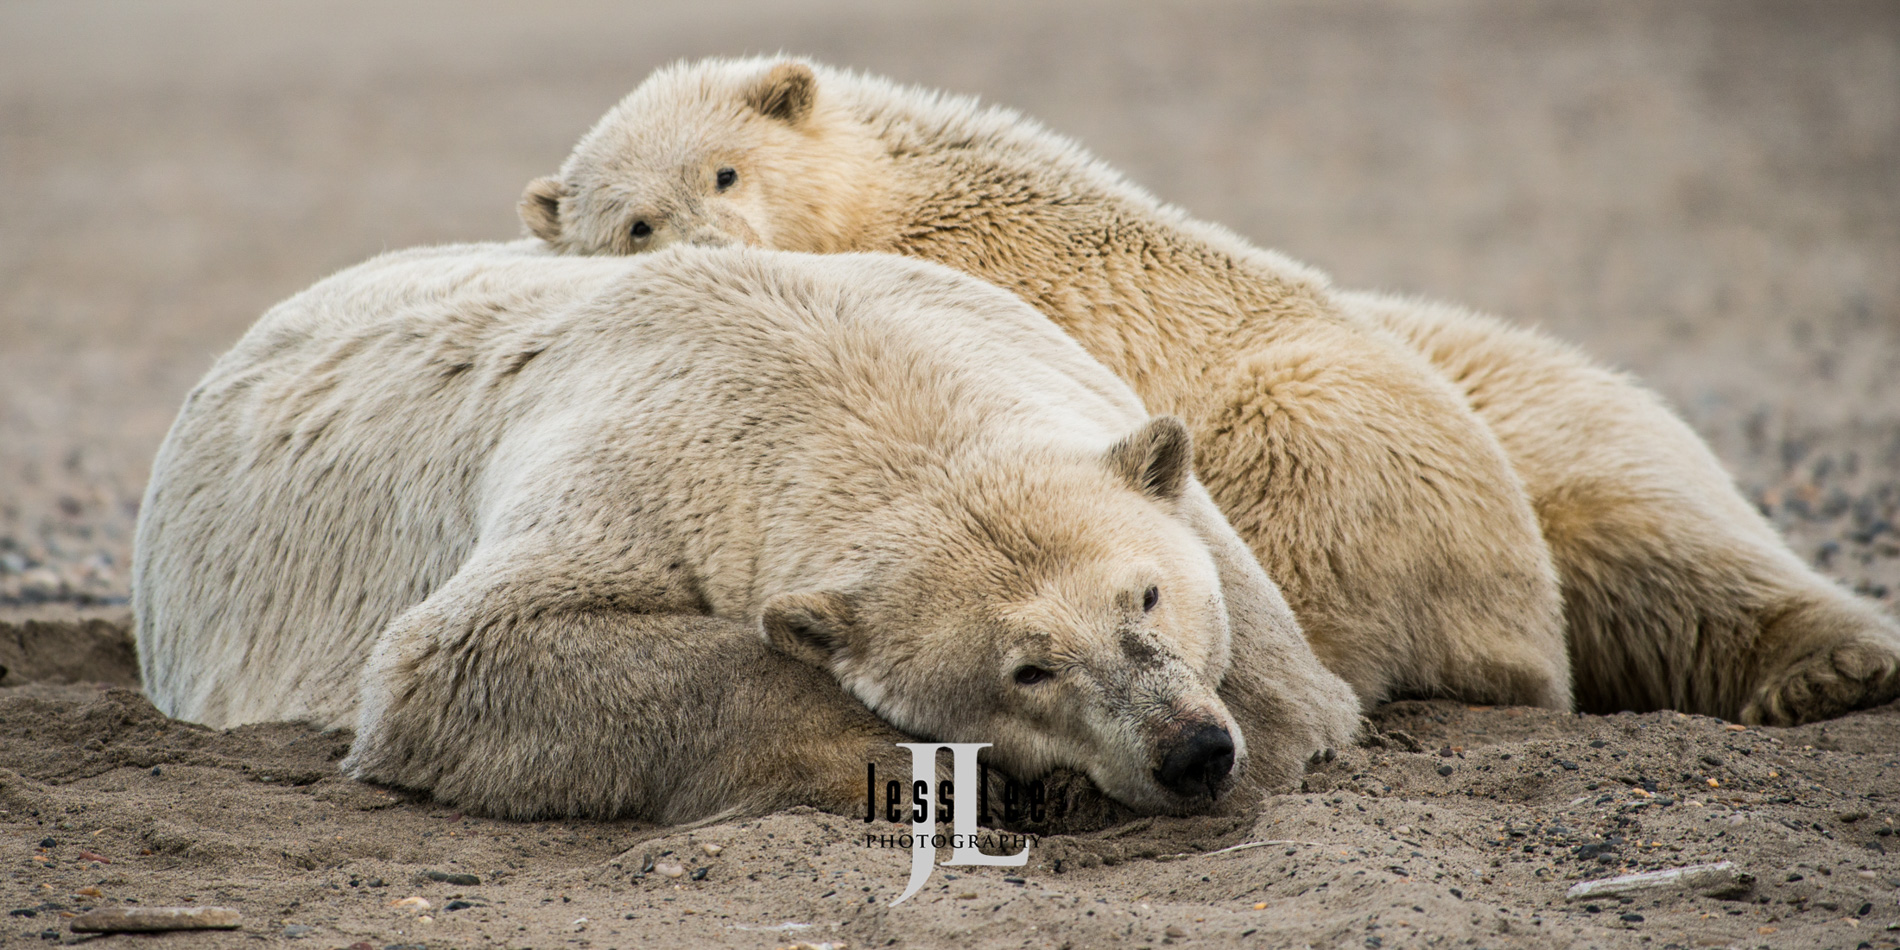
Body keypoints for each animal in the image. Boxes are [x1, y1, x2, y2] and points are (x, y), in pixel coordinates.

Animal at [133, 241, 1360, 820]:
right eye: (1027, 669)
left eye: (1145, 593)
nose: (1188, 749)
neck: (821, 365)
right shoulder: (631, 473)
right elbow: (457, 657)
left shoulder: (1046, 361)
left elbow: (1282, 662)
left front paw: (1260, 724)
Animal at [520, 57, 1900, 725]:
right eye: (634, 220)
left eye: (726, 170)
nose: (708, 244)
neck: (894, 194)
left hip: (1365, 425)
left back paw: (1827, 668)